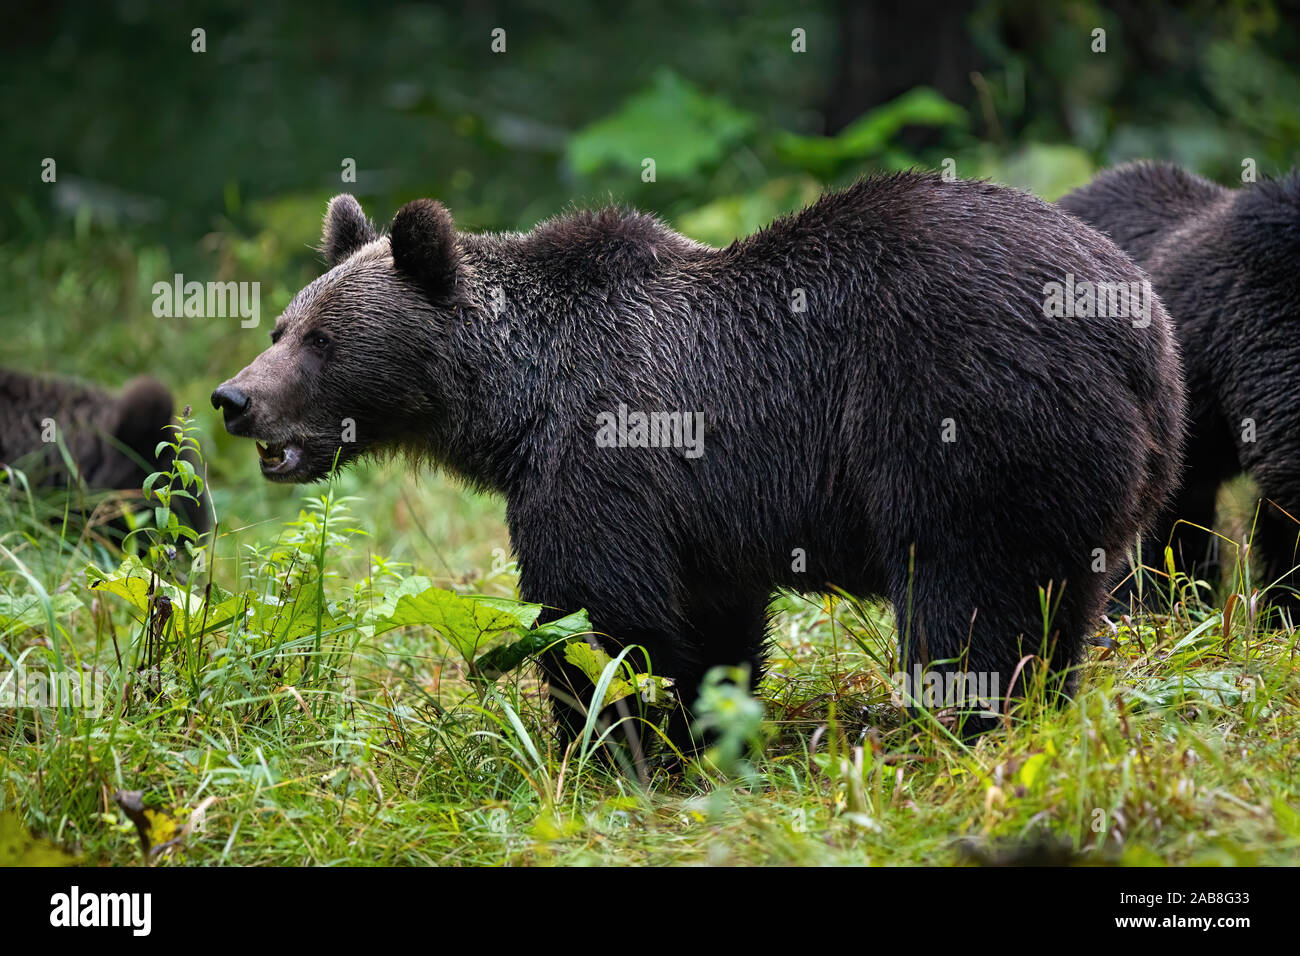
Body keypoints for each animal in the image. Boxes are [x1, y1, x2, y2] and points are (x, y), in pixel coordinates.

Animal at [212, 175, 1185, 748]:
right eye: (281, 326)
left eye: (323, 341)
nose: (233, 397)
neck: (514, 405)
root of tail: (1141, 333)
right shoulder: (705, 514)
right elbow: (710, 623)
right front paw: (709, 730)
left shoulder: (601, 458)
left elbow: (601, 621)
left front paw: (608, 744)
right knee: (1057, 602)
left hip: (966, 420)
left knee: (967, 597)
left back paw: (963, 725)